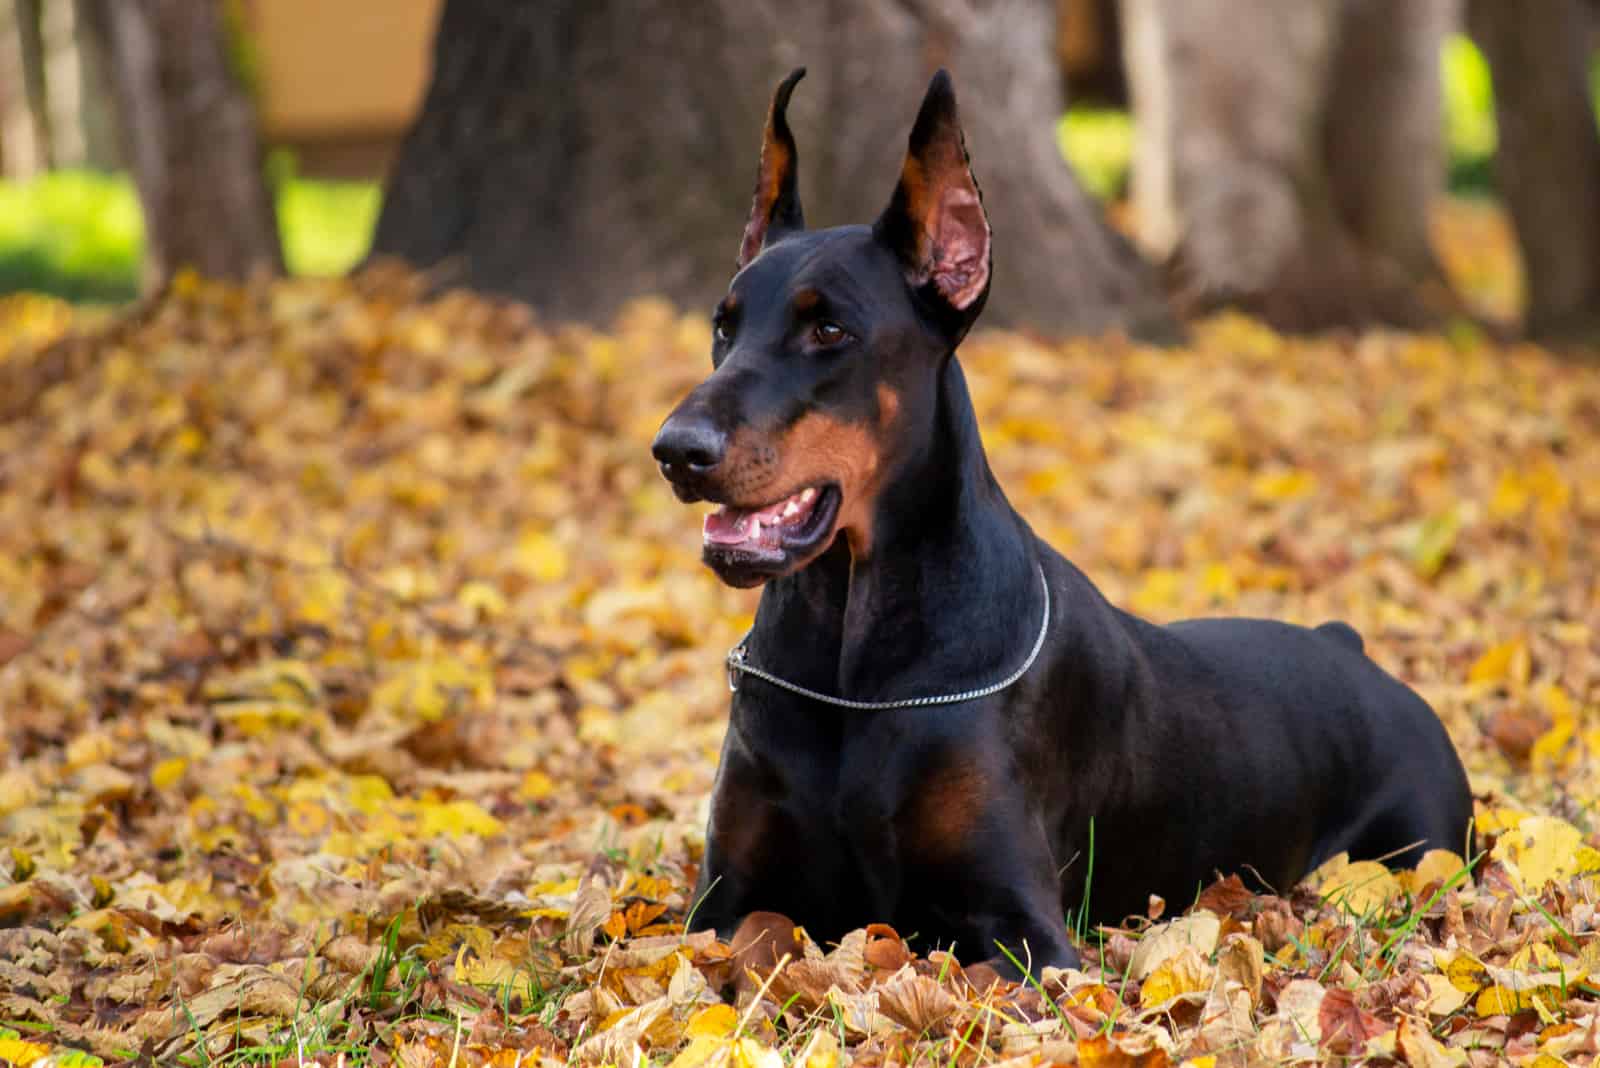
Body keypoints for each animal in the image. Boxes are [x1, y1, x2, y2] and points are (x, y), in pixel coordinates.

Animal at [649, 70, 1472, 978]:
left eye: (828, 328)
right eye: (724, 325)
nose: (676, 451)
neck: (853, 664)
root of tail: (1349, 647)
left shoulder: (1023, 923)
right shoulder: (723, 897)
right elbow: (740, 945)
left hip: (1420, 850)